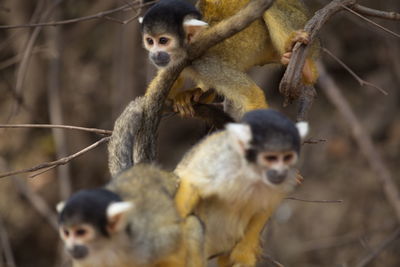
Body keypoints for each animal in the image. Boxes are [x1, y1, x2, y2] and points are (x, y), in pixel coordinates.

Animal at [141, 0, 318, 119]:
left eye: (163, 41)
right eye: (150, 41)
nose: (154, 54)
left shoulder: (204, 63)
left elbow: (251, 94)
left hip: (300, 21)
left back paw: (305, 68)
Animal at [173, 109, 308, 267]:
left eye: (287, 157)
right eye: (271, 158)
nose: (280, 172)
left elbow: (266, 206)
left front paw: (244, 253)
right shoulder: (221, 163)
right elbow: (192, 183)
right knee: (192, 224)